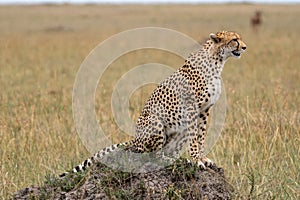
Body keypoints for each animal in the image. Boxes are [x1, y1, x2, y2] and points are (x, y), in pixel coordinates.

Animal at [58, 30, 246, 177]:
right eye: (234, 39)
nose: (244, 47)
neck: (217, 61)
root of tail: (135, 138)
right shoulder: (193, 108)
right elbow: (194, 138)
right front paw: (196, 160)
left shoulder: (205, 110)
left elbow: (201, 136)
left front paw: (202, 158)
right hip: (155, 122)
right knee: (151, 154)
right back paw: (169, 159)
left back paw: (178, 159)